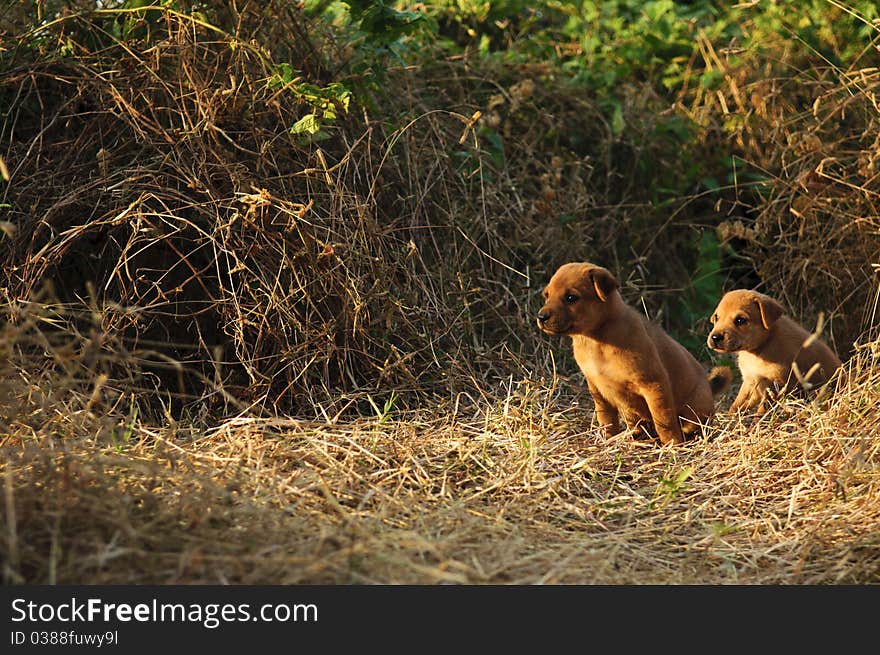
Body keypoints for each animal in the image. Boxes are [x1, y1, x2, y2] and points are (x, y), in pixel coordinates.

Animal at [540, 262, 732, 446]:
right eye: (547, 295)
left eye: (571, 298)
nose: (541, 317)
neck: (596, 340)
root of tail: (709, 387)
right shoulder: (597, 389)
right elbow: (606, 420)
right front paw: (608, 439)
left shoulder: (654, 385)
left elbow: (664, 421)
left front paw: (673, 444)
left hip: (694, 409)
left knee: (691, 425)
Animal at [704, 290, 844, 412]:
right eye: (717, 317)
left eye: (740, 320)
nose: (715, 337)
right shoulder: (750, 380)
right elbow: (737, 403)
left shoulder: (776, 385)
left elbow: (762, 409)